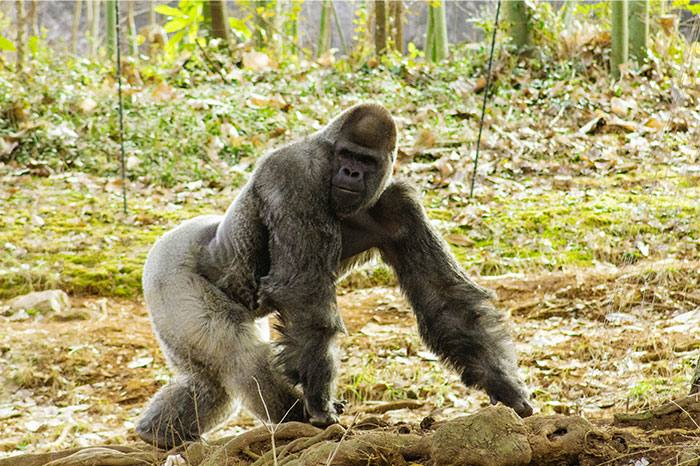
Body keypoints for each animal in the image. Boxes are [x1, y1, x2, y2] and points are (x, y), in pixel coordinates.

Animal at [135, 103, 533, 449]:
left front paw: (504, 385)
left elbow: (444, 299)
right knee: (241, 359)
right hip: (170, 276)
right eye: (347, 156)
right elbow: (303, 293)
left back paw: (158, 433)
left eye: (366, 161)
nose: (351, 174)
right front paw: (318, 402)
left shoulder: (399, 205)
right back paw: (294, 415)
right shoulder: (295, 173)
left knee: (209, 382)